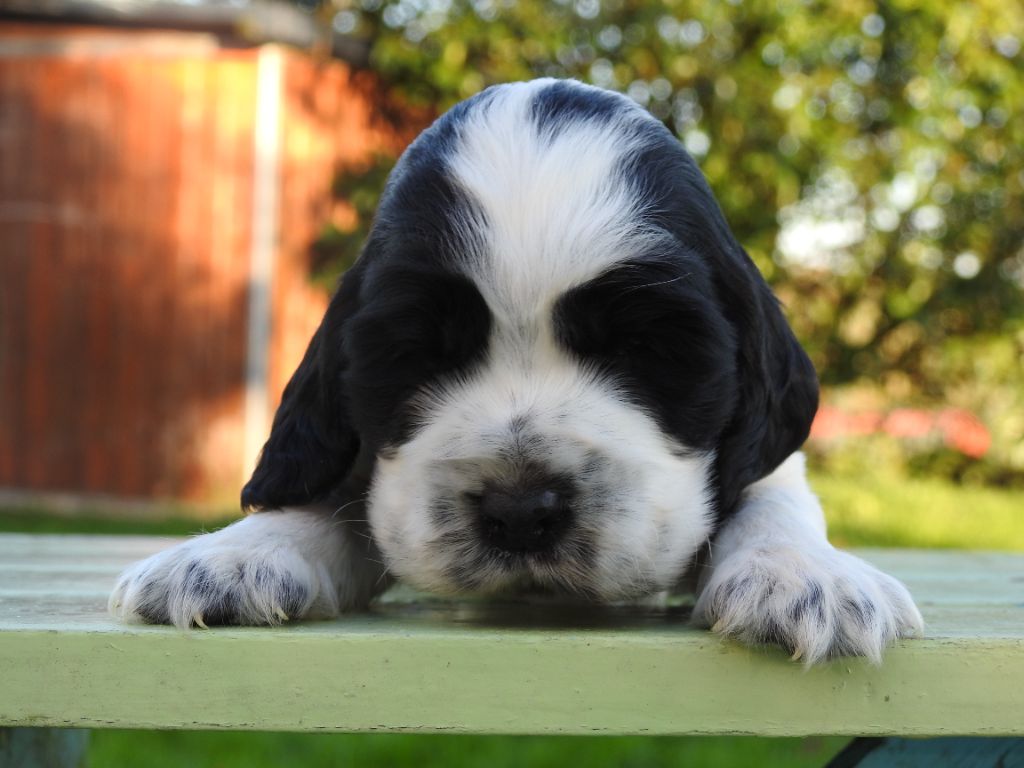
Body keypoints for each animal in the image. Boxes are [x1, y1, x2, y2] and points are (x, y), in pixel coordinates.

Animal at [108, 79, 925, 667]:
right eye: (422, 354)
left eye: (642, 350)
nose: (522, 511)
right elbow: (334, 494)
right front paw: (236, 556)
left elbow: (769, 498)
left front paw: (804, 577)